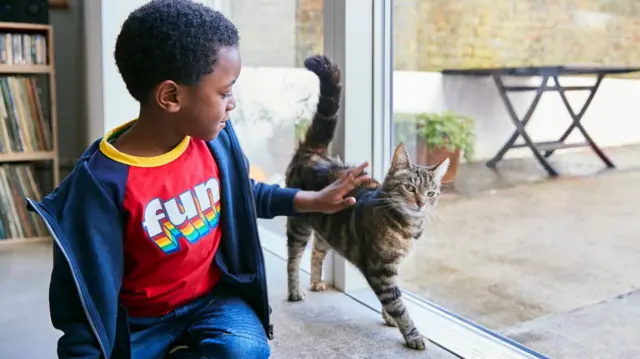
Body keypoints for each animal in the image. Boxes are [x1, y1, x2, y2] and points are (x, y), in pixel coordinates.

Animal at [284, 56, 450, 352]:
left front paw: (389, 318)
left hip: (326, 229)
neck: (406, 228)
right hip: (299, 225)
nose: (421, 203)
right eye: (410, 188)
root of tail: (314, 152)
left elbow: (392, 302)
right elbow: (397, 303)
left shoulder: (391, 268)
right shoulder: (381, 270)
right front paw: (412, 334)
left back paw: (316, 281)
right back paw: (294, 291)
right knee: (293, 259)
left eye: (431, 193)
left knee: (317, 253)